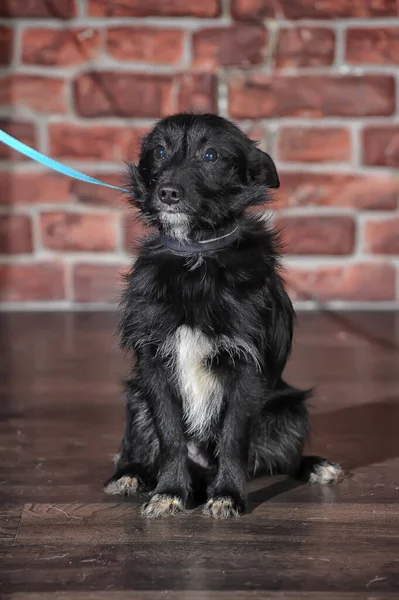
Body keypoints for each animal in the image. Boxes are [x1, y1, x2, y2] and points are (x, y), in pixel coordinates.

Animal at [104, 115, 346, 516]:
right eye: (159, 152)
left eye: (211, 155)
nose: (168, 193)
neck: (196, 254)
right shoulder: (154, 364)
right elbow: (170, 436)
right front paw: (170, 491)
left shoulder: (246, 367)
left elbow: (234, 438)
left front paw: (228, 494)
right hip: (136, 399)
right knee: (137, 449)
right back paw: (131, 474)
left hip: (289, 410)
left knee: (281, 457)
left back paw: (316, 466)